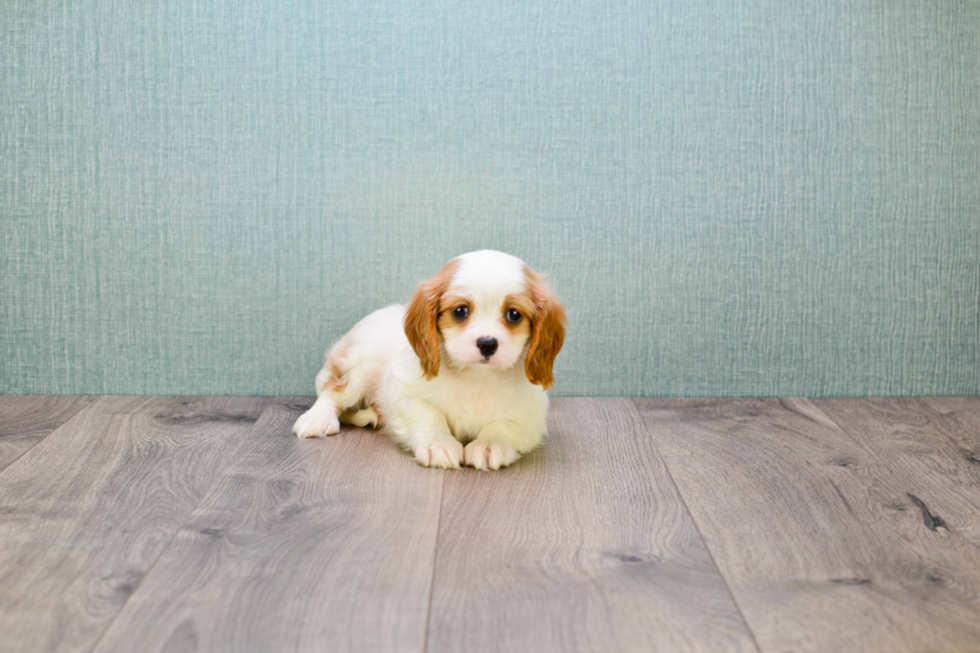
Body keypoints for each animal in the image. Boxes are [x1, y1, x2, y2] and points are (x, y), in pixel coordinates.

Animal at [290, 250, 568, 468]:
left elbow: (503, 425)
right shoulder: (404, 392)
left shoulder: (529, 414)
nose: (487, 343)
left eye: (514, 315)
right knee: (333, 393)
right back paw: (318, 419)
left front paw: (490, 445)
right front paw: (439, 444)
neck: (476, 376)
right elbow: (428, 414)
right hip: (359, 367)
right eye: (460, 311)